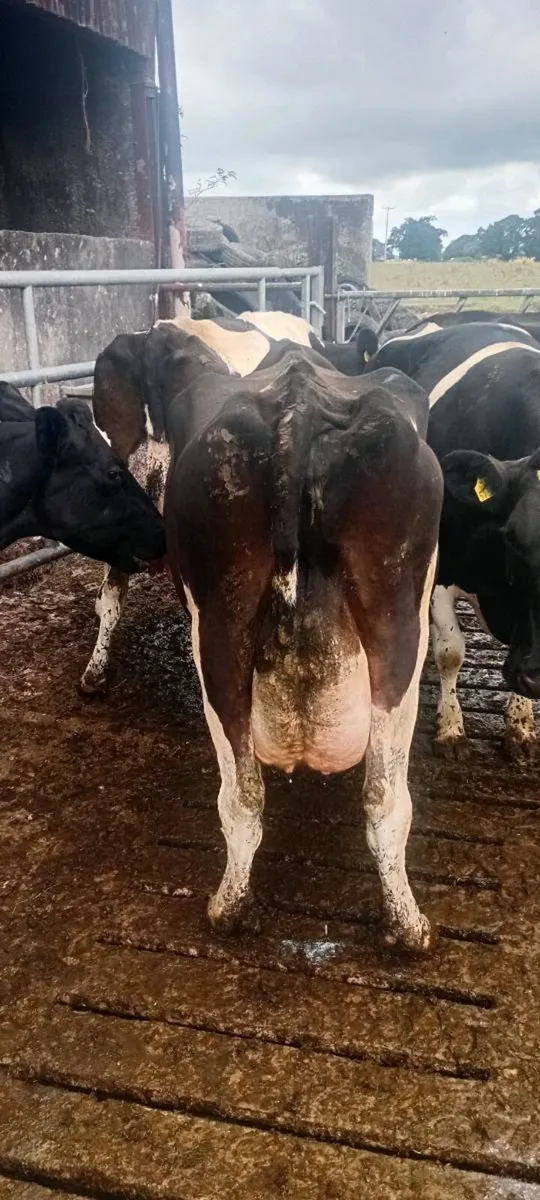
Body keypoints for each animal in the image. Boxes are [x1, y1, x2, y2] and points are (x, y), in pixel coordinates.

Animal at [162, 346, 442, 947]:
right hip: (397, 624)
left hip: (221, 627)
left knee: (244, 796)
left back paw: (229, 910)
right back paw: (409, 927)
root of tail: (299, 408)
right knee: (384, 797)